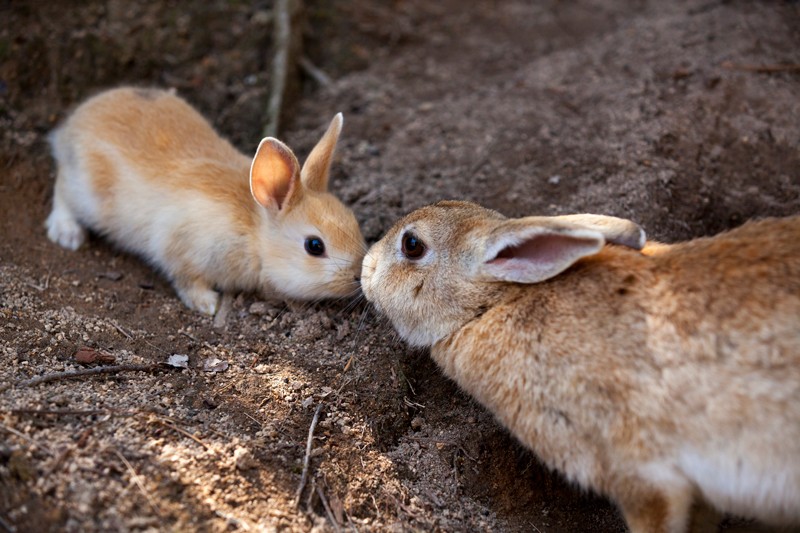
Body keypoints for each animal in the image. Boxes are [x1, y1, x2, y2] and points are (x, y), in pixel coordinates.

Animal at [45, 85, 364, 314]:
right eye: (314, 246)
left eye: (353, 220)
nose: (357, 277)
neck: (254, 235)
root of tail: (73, 125)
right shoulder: (181, 247)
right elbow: (186, 279)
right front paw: (208, 304)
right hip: (85, 191)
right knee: (61, 189)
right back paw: (67, 233)